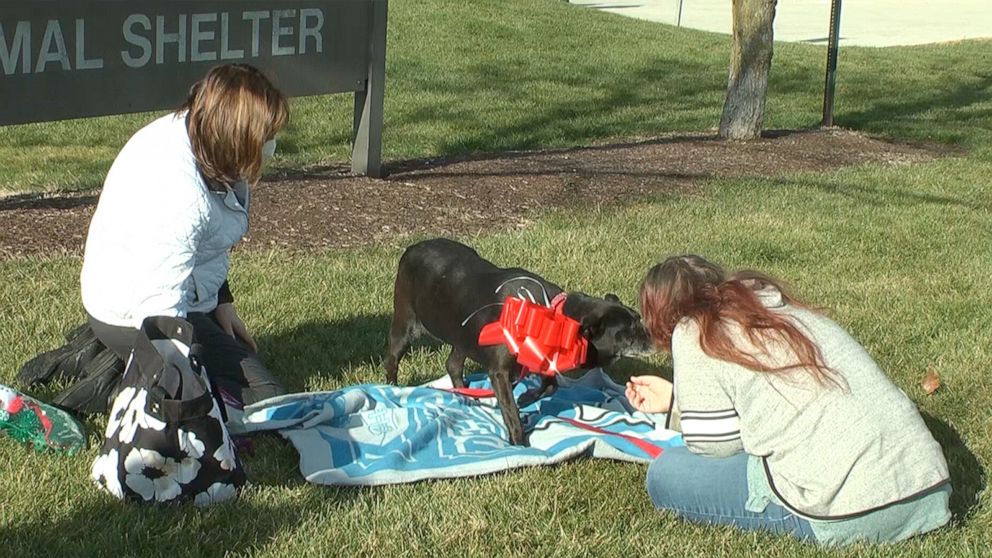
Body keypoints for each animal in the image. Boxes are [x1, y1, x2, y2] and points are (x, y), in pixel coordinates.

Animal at [382, 238, 652, 448]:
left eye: (638, 319)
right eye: (628, 330)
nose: (651, 335)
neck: (549, 316)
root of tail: (412, 247)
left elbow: (551, 386)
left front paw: (526, 398)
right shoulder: (499, 371)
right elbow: (510, 408)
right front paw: (519, 441)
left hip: (464, 334)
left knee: (453, 365)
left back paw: (466, 396)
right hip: (406, 324)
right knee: (392, 359)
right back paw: (393, 390)